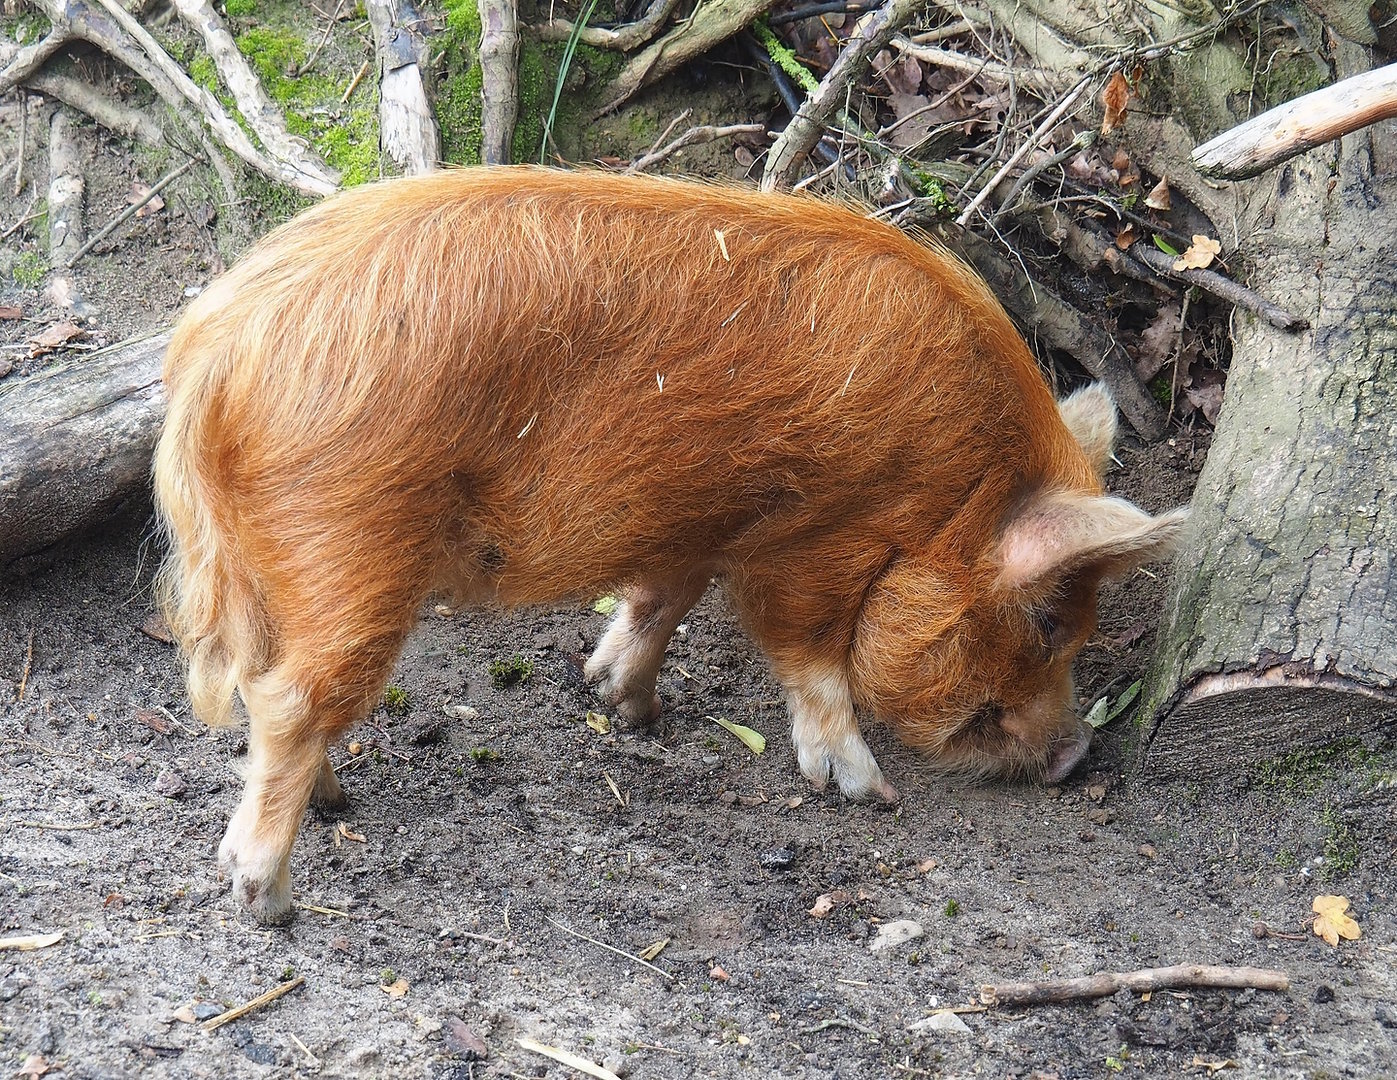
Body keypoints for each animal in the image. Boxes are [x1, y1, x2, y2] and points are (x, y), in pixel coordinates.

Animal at [153, 166, 1188, 922]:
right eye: (1050, 621)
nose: (1075, 756)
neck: (953, 491)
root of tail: (215, 353)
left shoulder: (700, 525)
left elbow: (662, 602)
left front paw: (629, 707)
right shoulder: (815, 538)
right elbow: (810, 654)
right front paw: (870, 794)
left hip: (273, 557)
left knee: (264, 685)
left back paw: (334, 805)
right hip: (349, 542)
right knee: (287, 697)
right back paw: (268, 900)